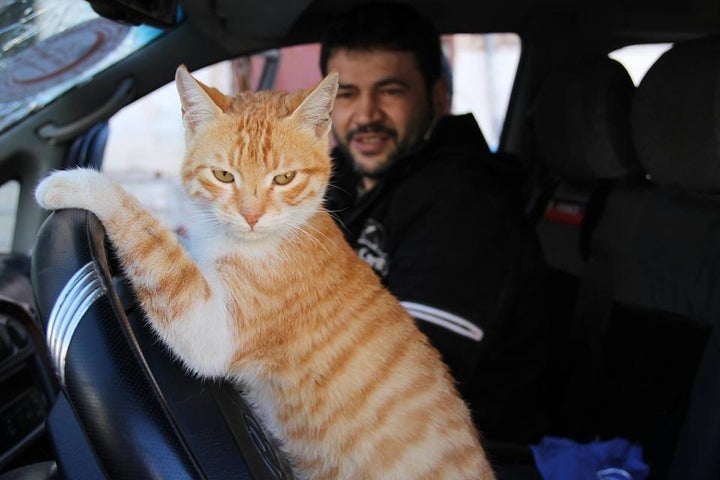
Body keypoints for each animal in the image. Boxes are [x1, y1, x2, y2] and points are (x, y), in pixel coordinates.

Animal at [33, 64, 496, 480]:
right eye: (224, 175)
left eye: (285, 178)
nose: (252, 216)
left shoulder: (207, 327)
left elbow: (150, 237)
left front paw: (80, 184)